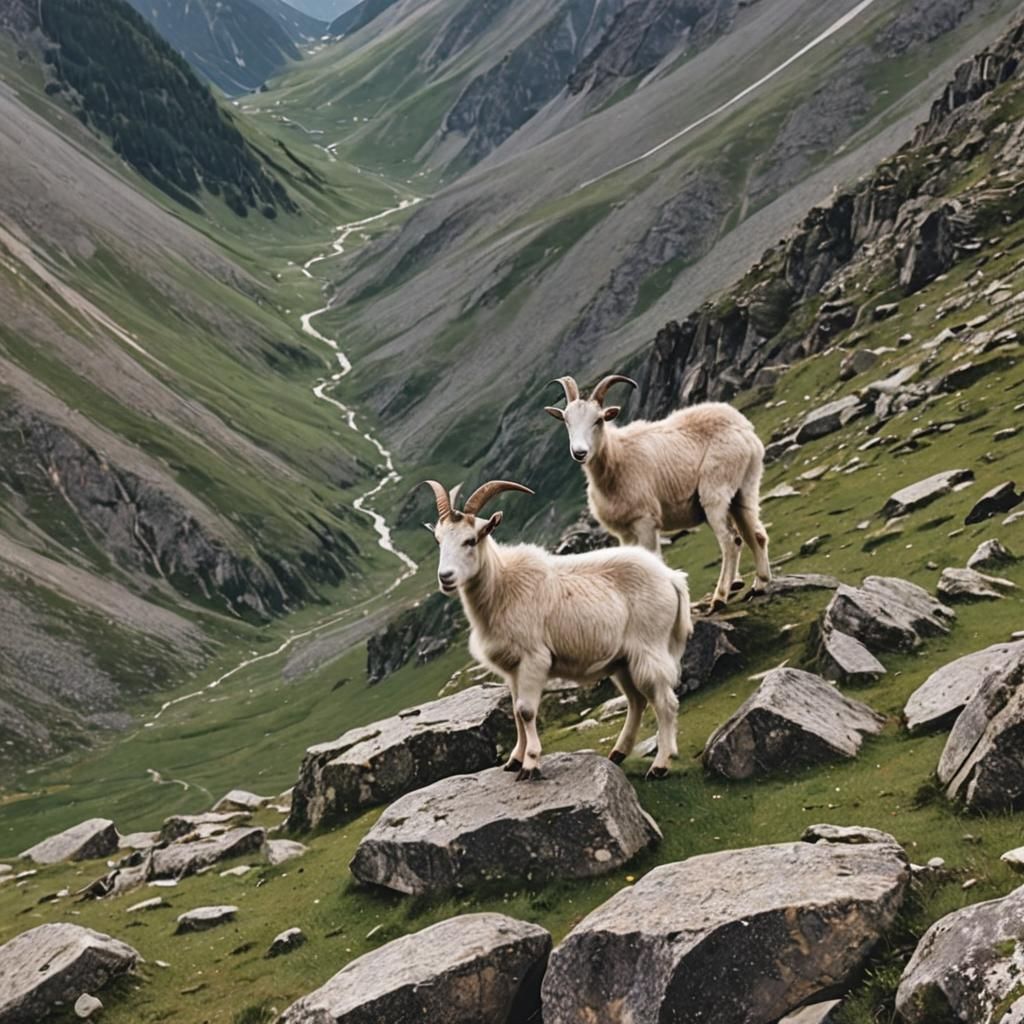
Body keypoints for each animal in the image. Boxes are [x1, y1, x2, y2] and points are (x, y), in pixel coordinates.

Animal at [423, 479, 691, 780]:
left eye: (471, 540)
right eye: (438, 540)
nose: (445, 578)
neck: (502, 585)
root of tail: (672, 578)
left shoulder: (534, 658)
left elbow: (526, 711)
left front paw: (530, 764)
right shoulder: (512, 668)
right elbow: (515, 712)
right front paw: (514, 760)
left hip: (649, 647)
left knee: (665, 701)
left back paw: (660, 764)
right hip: (622, 660)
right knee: (636, 700)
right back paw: (618, 753)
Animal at [545, 374, 771, 609]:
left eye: (598, 420)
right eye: (567, 421)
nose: (579, 452)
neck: (616, 458)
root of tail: (744, 429)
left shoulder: (645, 520)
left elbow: (653, 560)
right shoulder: (624, 531)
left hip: (715, 492)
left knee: (731, 541)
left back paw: (720, 597)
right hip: (745, 487)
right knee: (756, 534)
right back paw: (759, 584)